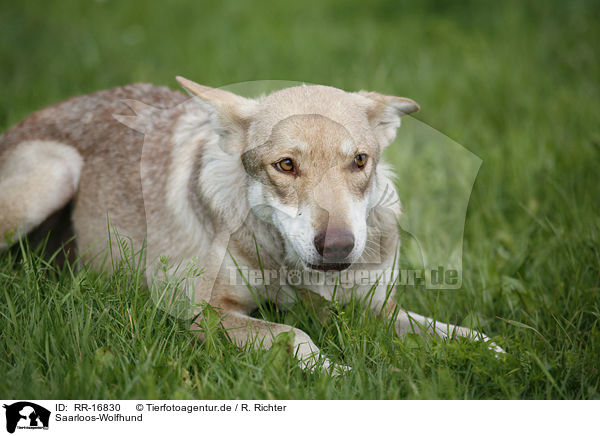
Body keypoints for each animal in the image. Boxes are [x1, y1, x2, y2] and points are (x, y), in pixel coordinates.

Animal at [0, 77, 502, 372]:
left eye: (359, 161)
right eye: (286, 165)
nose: (338, 246)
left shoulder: (377, 307)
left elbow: (457, 332)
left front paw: (503, 355)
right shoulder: (198, 309)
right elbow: (294, 335)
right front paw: (336, 375)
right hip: (57, 172)